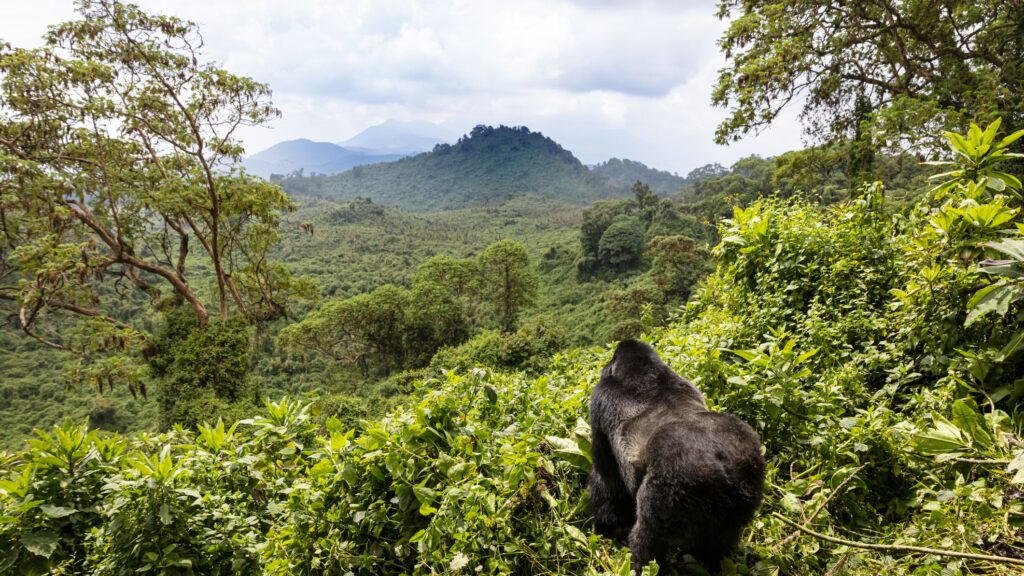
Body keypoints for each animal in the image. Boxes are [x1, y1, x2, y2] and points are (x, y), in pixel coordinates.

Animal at [589, 338, 765, 565]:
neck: (643, 370)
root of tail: (725, 470)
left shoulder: (599, 399)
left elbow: (606, 477)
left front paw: (609, 526)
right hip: (749, 476)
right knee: (720, 543)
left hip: (672, 486)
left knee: (648, 542)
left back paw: (641, 563)